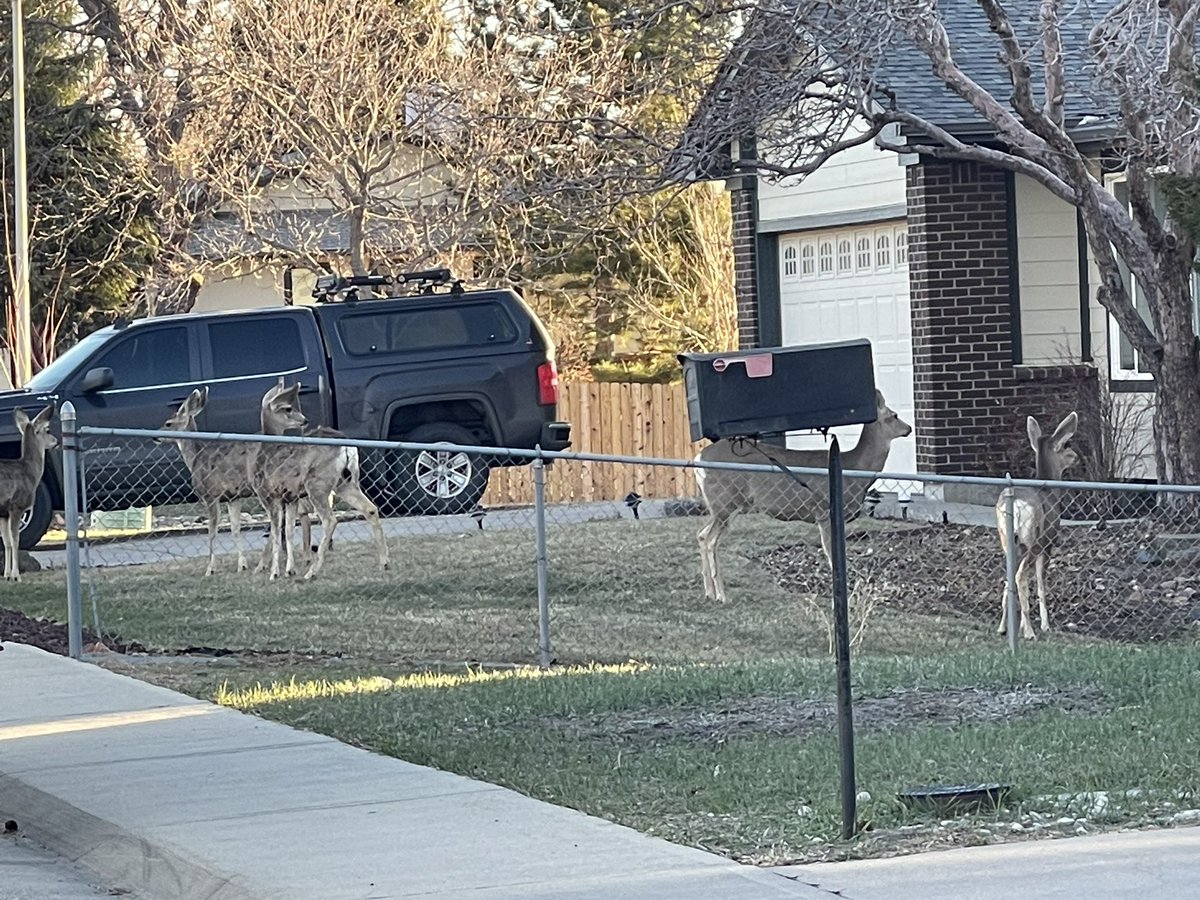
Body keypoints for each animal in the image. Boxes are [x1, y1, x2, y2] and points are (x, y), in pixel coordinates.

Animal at [0, 408, 56, 585]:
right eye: (47, 430)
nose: (56, 441)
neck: (30, 471)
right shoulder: (17, 506)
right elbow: (15, 541)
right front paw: (16, 575)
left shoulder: (3, 513)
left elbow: (7, 542)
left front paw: (6, 575)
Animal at [162, 388, 258, 578]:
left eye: (168, 423)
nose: (156, 437)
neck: (195, 459)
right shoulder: (233, 497)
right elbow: (235, 529)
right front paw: (242, 565)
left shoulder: (210, 494)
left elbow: (212, 532)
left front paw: (209, 569)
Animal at [254, 379, 388, 578]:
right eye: (288, 408)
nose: (304, 420)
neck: (266, 451)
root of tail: (346, 446)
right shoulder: (291, 497)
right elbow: (288, 530)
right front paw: (289, 570)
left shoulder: (268, 494)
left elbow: (276, 532)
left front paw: (274, 572)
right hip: (346, 483)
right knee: (370, 508)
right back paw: (384, 562)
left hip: (317, 484)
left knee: (330, 520)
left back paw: (312, 572)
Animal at [696, 388, 907, 607]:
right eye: (894, 416)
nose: (908, 429)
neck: (855, 470)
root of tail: (699, 458)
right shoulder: (824, 512)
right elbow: (831, 555)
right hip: (725, 501)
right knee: (710, 540)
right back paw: (721, 595)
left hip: (721, 506)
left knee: (701, 535)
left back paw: (709, 592)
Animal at [993, 412, 1080, 638]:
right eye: (1066, 445)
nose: (1077, 457)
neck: (1050, 491)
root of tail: (1016, 503)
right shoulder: (1048, 543)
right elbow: (1041, 583)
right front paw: (1044, 625)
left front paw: (1014, 626)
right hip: (1032, 539)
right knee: (1021, 575)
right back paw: (1030, 632)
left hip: (1008, 540)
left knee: (1010, 577)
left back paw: (1003, 628)